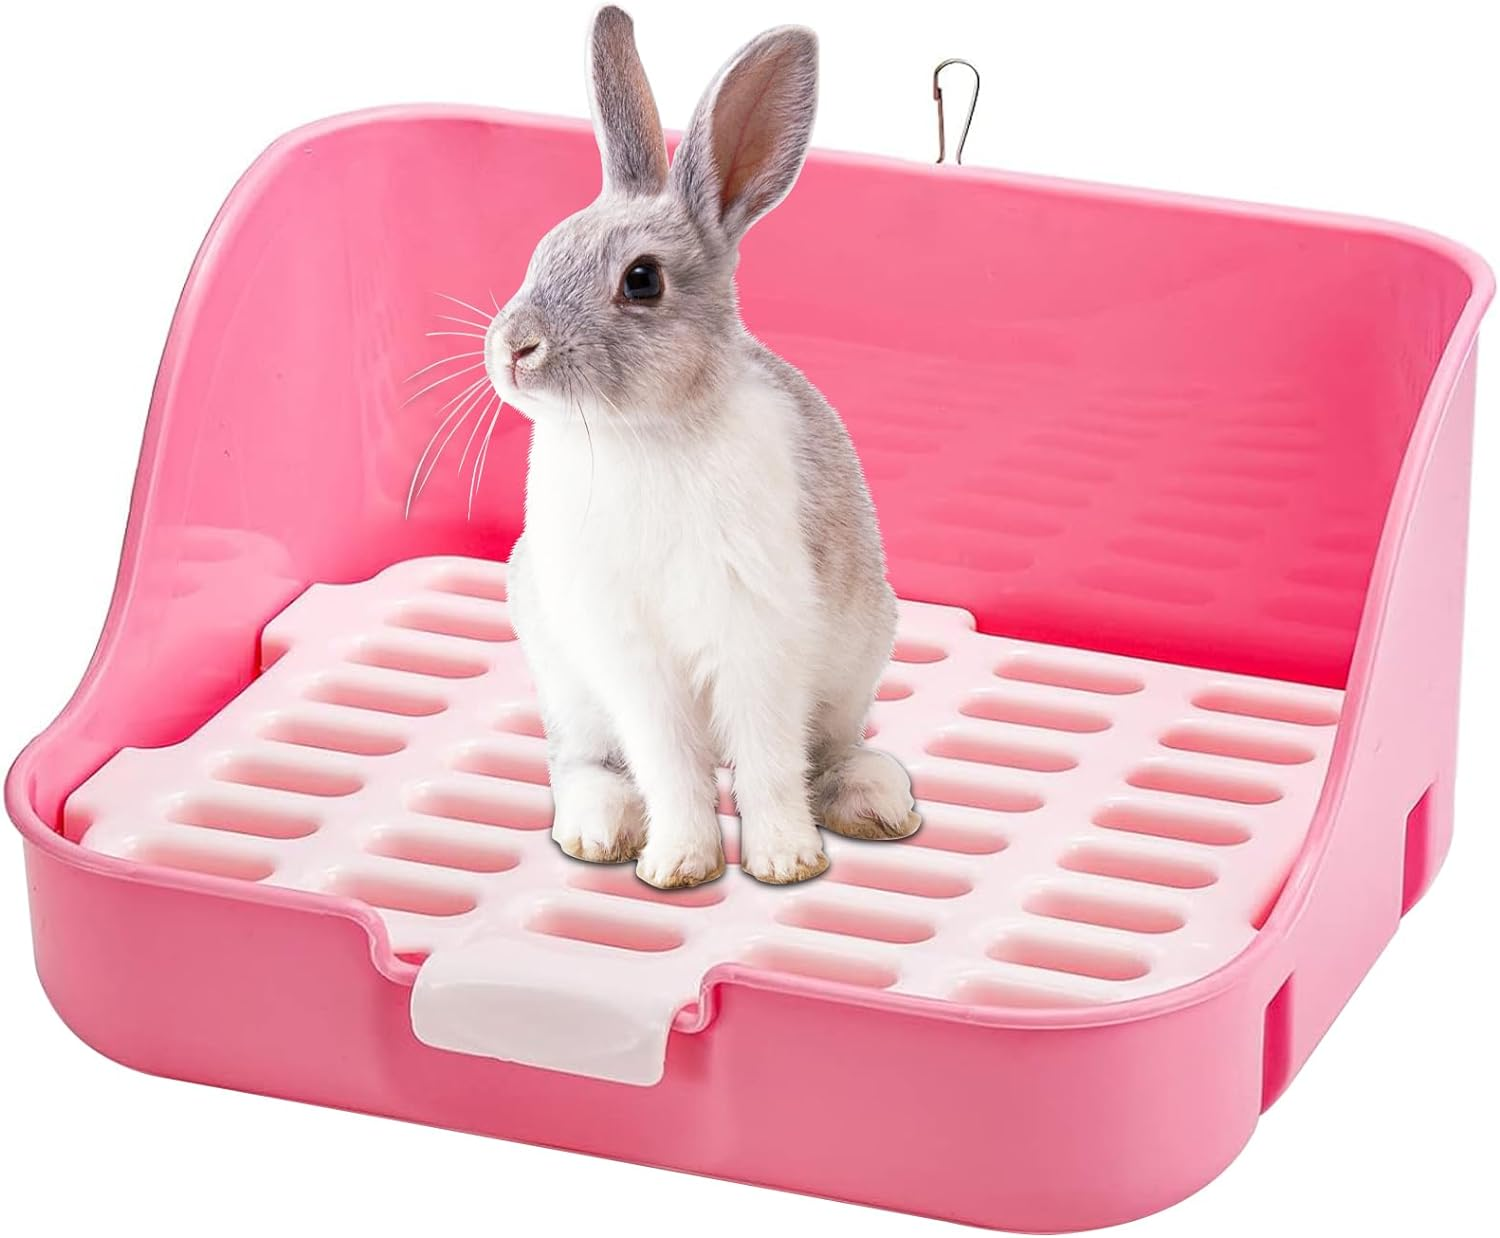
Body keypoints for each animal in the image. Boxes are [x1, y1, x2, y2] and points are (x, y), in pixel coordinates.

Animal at [484, 5, 918, 888]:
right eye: (543, 251)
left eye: (642, 280)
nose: (515, 349)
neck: (645, 434)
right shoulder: (630, 655)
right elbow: (669, 762)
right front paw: (679, 865)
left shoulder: (757, 634)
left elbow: (767, 759)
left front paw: (786, 862)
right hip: (566, 682)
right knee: (582, 763)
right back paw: (598, 830)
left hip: (856, 664)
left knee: (828, 750)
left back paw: (876, 803)